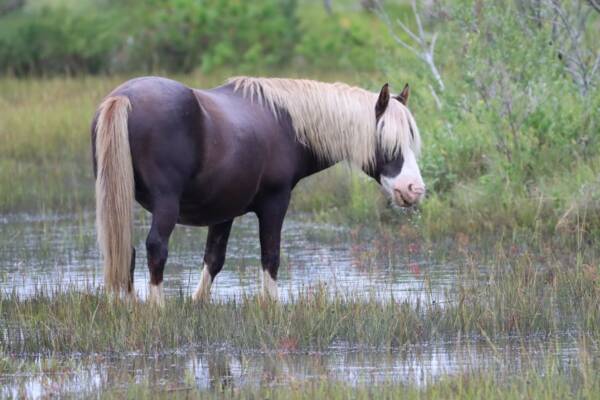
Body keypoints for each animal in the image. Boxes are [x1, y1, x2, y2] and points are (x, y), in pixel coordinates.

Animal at [90, 76, 426, 306]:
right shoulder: (274, 204)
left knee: (123, 249)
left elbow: (214, 259)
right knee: (156, 247)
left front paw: (198, 302)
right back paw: (156, 308)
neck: (285, 123)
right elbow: (270, 256)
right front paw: (272, 306)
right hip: (165, 205)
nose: (414, 189)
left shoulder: (223, 212)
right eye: (386, 141)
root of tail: (122, 98)